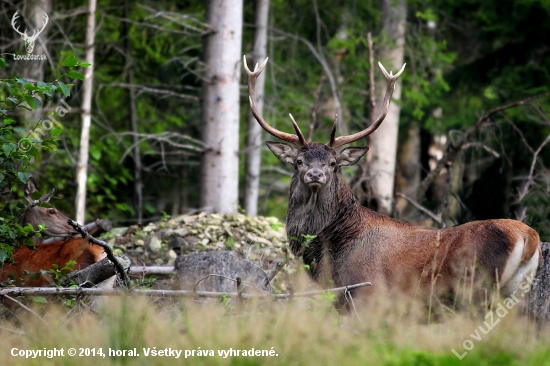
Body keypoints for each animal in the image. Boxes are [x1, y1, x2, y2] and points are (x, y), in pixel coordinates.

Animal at [246, 56, 544, 304]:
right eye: (298, 161)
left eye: (333, 164)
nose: (315, 174)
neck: (330, 255)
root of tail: (530, 237)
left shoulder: (367, 291)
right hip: (518, 292)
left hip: (475, 288)